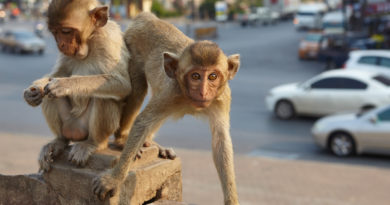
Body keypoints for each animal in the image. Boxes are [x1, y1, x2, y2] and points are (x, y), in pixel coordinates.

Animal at [23, 0, 137, 171]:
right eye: (55, 32)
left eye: (66, 31)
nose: (61, 44)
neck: (89, 41)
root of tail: (75, 132)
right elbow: (56, 75)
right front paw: (33, 91)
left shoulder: (109, 39)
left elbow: (122, 84)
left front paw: (64, 84)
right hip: (69, 124)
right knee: (49, 96)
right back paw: (59, 141)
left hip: (88, 128)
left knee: (103, 98)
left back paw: (93, 144)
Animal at [93, 12, 241, 205]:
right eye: (195, 76)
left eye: (212, 76)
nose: (203, 91)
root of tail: (148, 17)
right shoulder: (170, 93)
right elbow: (142, 122)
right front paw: (115, 179)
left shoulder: (222, 98)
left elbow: (220, 139)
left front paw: (231, 199)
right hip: (131, 46)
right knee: (138, 89)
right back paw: (122, 139)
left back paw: (152, 143)